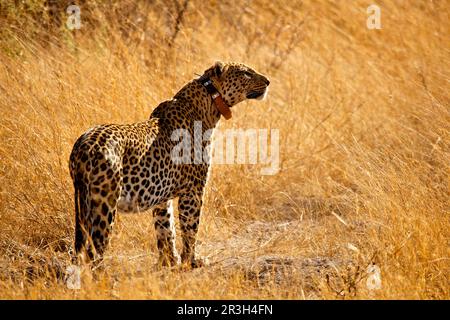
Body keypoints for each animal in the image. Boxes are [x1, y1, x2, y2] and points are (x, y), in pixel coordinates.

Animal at [68, 61, 268, 268]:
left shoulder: (162, 196)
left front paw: (169, 260)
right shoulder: (193, 190)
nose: (268, 81)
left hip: (84, 202)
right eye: (246, 73)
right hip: (104, 203)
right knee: (95, 247)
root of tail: (83, 147)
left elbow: (165, 227)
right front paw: (191, 260)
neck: (209, 104)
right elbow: (190, 227)